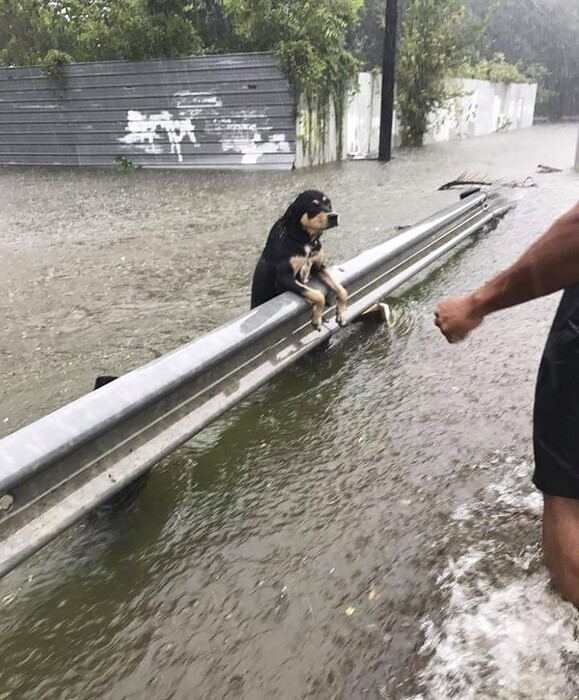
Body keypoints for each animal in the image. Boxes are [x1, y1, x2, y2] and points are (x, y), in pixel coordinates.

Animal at [250, 186, 348, 328]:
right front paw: (316, 318)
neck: (304, 240)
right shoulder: (284, 278)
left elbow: (342, 290)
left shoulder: (319, 267)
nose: (334, 216)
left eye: (328, 203)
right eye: (313, 206)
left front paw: (341, 313)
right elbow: (318, 295)